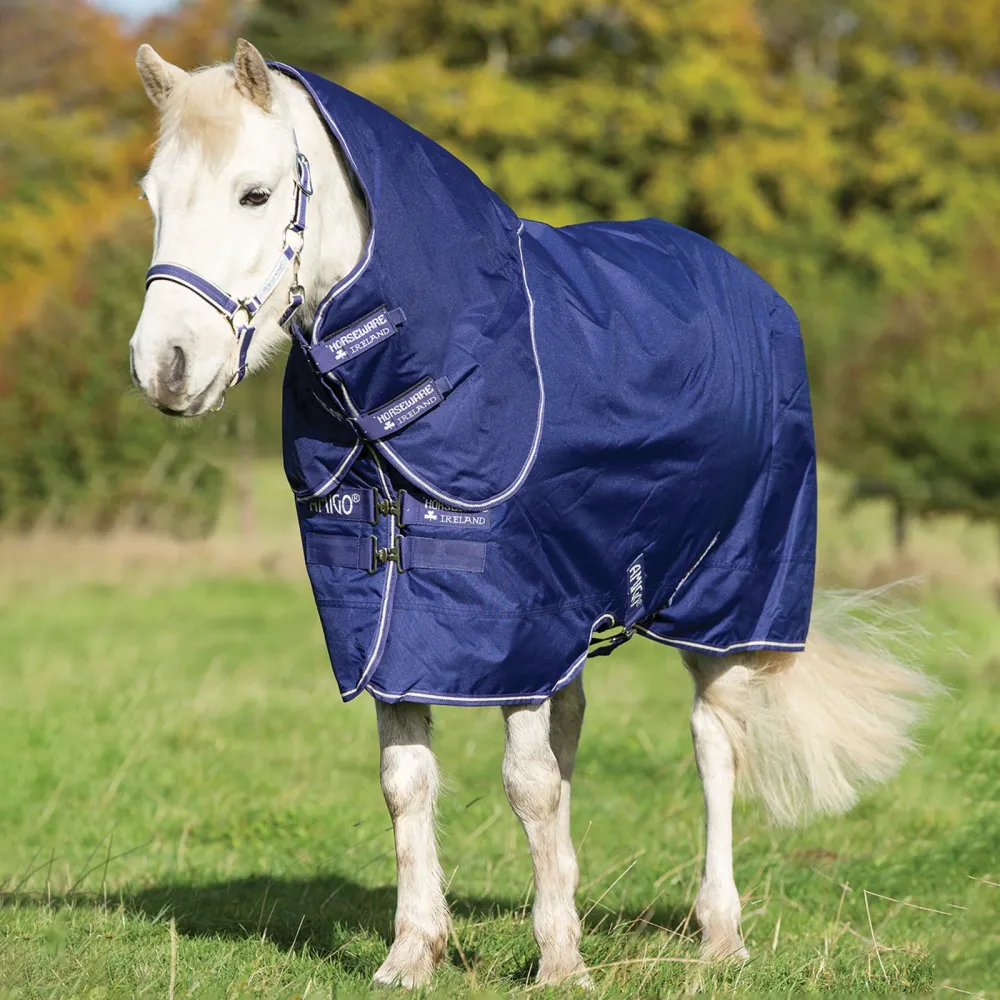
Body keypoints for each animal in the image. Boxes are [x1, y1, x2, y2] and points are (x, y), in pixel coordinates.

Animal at [129, 39, 936, 989]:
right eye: (152, 196)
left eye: (255, 194)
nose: (164, 365)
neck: (421, 379)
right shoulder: (397, 629)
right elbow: (411, 780)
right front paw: (415, 952)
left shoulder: (512, 626)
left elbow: (527, 782)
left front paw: (559, 965)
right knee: (576, 735)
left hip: (726, 602)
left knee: (714, 743)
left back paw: (721, 933)